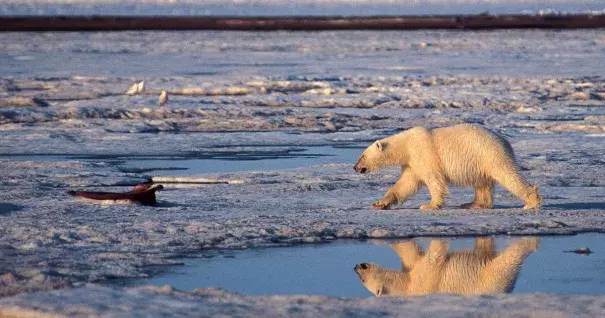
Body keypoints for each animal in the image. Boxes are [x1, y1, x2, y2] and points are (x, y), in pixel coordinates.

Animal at [352, 123, 540, 210]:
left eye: (362, 155)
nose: (355, 167)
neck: (406, 145)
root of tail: (505, 141)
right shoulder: (412, 163)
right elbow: (405, 184)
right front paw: (380, 203)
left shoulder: (424, 153)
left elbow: (434, 179)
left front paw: (429, 205)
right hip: (480, 161)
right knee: (482, 183)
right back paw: (473, 204)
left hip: (489, 153)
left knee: (507, 174)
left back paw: (531, 202)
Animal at [354, 237, 536, 296]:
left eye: (363, 280)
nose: (356, 266)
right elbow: (411, 255)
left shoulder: (425, 281)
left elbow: (432, 260)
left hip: (490, 277)